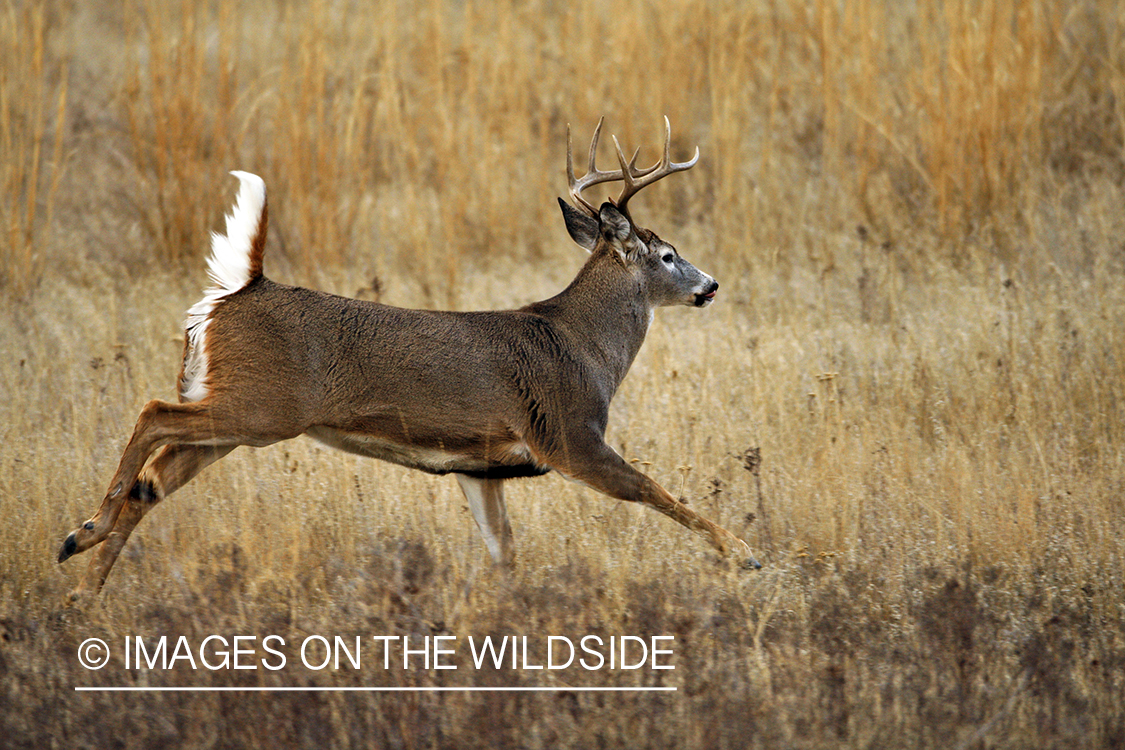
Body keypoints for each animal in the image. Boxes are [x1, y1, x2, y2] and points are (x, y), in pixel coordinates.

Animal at [57, 118, 760, 598]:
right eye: (666, 254)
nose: (710, 285)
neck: (582, 347)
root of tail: (239, 289)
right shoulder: (568, 435)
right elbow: (655, 490)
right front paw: (744, 552)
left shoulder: (481, 465)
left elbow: (504, 554)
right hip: (263, 408)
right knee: (151, 415)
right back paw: (83, 534)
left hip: (233, 416)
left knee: (152, 482)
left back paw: (82, 588)